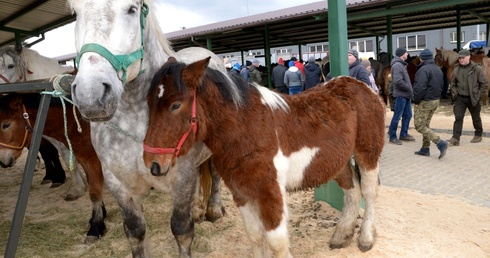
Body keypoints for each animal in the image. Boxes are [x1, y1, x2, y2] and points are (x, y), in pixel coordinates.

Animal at [0, 92, 106, 244]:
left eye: (6, 125)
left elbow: (95, 193)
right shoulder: (86, 160)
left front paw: (95, 228)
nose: (3, 161)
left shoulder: (93, 160)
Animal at [66, 0, 225, 254]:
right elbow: (136, 231)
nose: (90, 94)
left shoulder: (182, 178)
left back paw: (214, 209)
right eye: (76, 14)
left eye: (132, 8)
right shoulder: (119, 184)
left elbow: (182, 230)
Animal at [142, 56, 386, 256]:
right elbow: (255, 236)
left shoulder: (270, 191)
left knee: (369, 192)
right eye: (149, 103)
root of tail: (362, 86)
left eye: (176, 105)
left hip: (367, 153)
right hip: (337, 161)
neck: (247, 129)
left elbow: (276, 242)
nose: (152, 164)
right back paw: (341, 236)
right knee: (352, 190)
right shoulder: (241, 192)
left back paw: (365, 239)